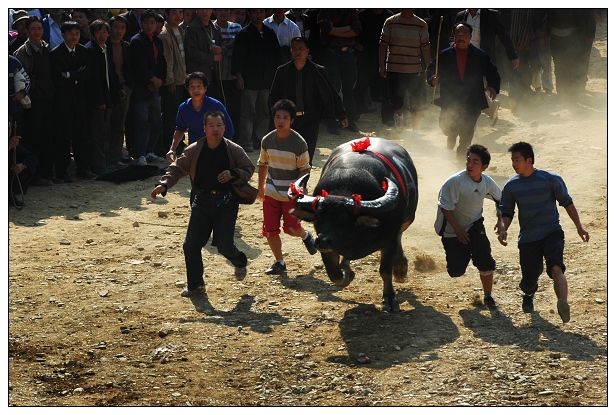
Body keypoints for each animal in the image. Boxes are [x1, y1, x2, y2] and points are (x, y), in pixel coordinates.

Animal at [288, 136, 418, 312]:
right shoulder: (329, 248)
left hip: (408, 220)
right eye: (318, 217)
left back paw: (400, 268)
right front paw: (348, 274)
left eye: (344, 218)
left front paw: (390, 298)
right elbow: (334, 275)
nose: (322, 241)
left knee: (400, 237)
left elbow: (385, 271)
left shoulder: (389, 240)